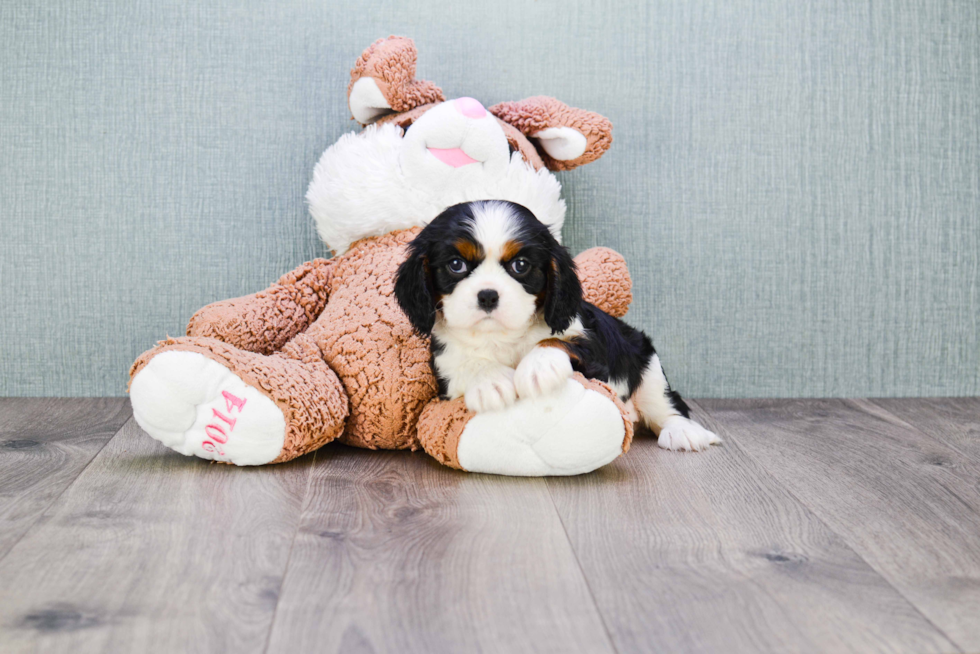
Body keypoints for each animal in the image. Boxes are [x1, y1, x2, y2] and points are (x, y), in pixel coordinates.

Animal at [394, 202, 724, 454]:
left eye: (520, 265)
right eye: (456, 265)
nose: (487, 295)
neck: (501, 336)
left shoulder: (593, 352)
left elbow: (556, 342)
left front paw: (538, 368)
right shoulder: (444, 366)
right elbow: (468, 364)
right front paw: (490, 382)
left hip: (648, 367)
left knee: (667, 405)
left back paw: (683, 432)